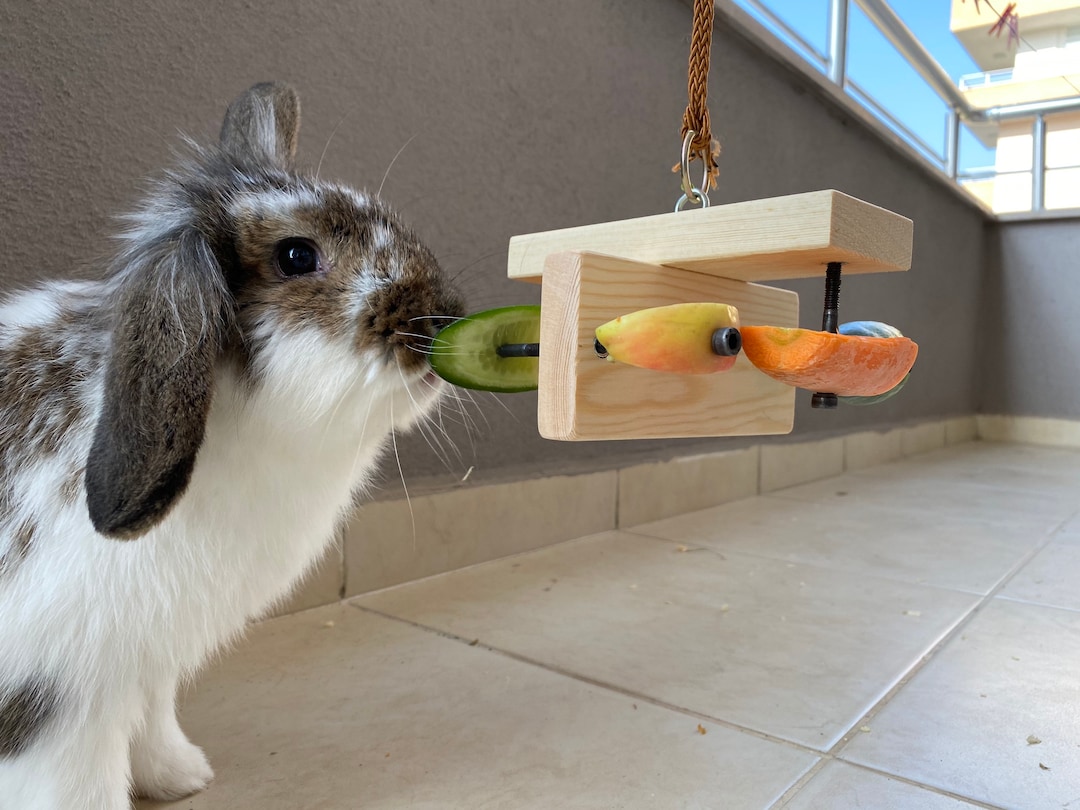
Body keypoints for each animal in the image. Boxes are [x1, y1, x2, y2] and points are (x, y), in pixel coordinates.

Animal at [0, 82, 465, 810]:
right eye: (296, 256)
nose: (443, 317)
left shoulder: (148, 662)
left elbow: (153, 719)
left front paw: (181, 777)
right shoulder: (58, 700)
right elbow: (79, 786)